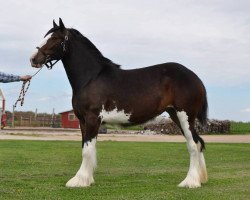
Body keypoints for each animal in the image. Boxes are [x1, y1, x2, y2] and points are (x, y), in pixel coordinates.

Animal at [30, 18, 208, 188]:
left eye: (55, 38)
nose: (33, 59)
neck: (91, 78)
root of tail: (195, 78)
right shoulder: (82, 121)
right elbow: (85, 147)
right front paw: (87, 179)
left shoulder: (92, 118)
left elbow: (87, 150)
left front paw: (79, 181)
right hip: (176, 115)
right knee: (198, 142)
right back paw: (200, 179)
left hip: (184, 116)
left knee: (193, 145)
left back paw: (190, 182)